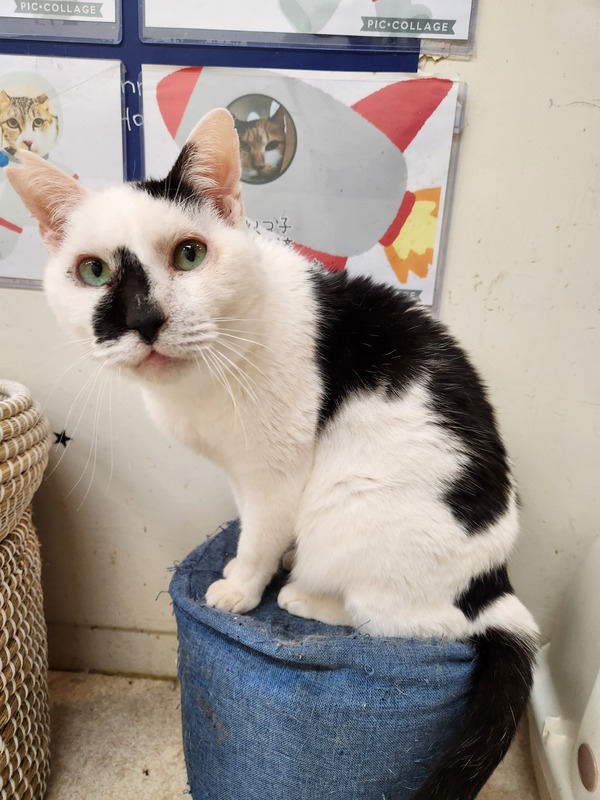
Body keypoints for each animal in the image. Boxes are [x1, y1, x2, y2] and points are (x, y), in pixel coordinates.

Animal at [6, 108, 538, 800]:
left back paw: (306, 596)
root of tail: (494, 579)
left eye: (190, 254)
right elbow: (255, 525)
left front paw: (241, 585)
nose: (145, 320)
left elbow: (262, 530)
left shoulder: (276, 471)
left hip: (351, 509)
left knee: (415, 624)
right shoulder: (242, 473)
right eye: (93, 272)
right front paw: (245, 565)